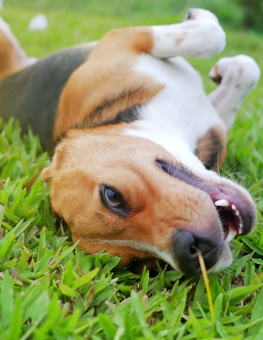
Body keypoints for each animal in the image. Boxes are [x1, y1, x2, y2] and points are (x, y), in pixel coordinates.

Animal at [0, 7, 260, 274]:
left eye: (112, 196)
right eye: (140, 264)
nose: (199, 254)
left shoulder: (118, 39)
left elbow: (233, 55)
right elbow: (217, 39)